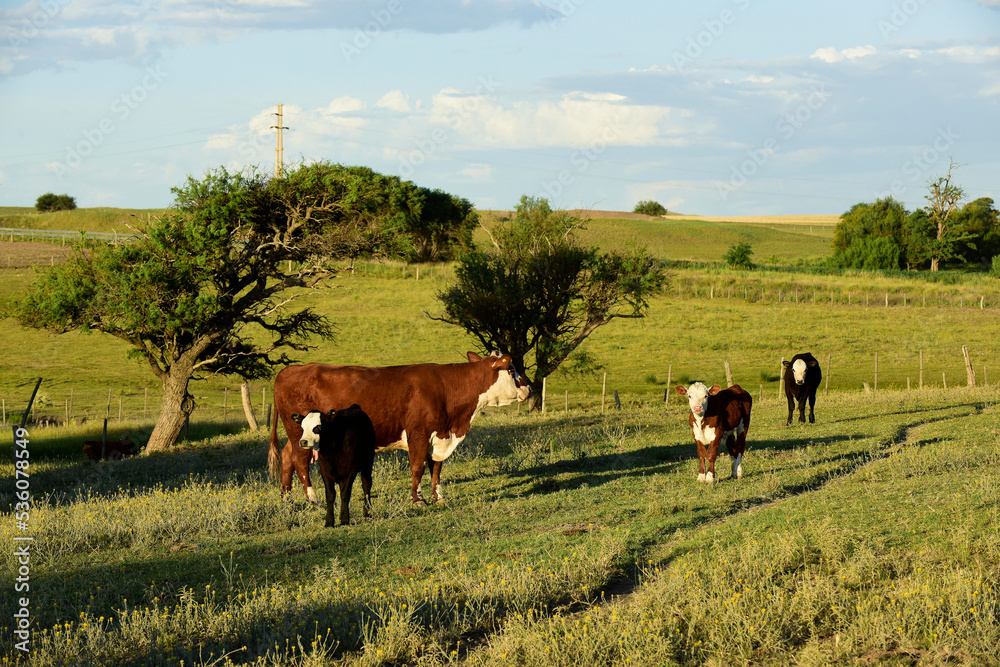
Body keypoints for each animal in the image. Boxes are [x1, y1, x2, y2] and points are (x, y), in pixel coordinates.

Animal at [266, 352, 532, 504]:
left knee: (287, 457)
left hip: (296, 434)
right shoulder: (418, 433)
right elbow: (418, 467)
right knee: (299, 461)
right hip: (301, 434)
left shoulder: (439, 435)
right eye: (511, 369)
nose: (529, 388)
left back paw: (287, 499)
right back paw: (312, 499)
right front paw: (418, 499)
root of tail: (291, 369)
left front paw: (439, 497)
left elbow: (436, 468)